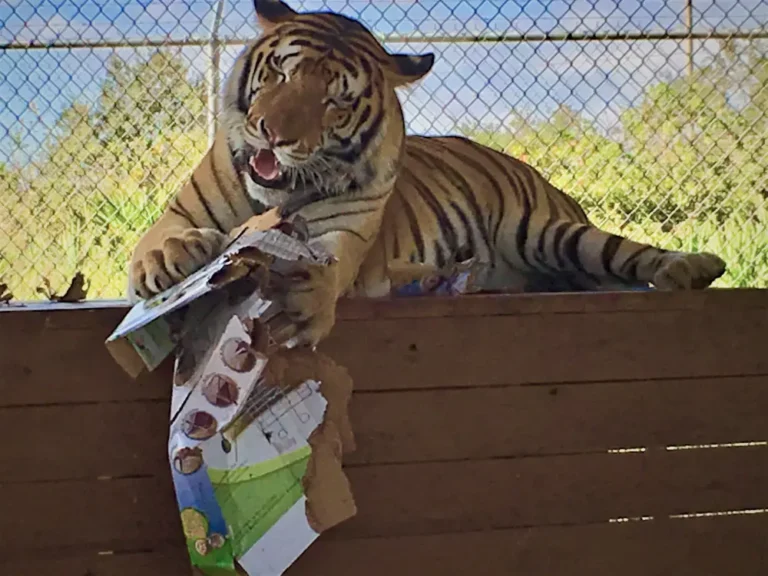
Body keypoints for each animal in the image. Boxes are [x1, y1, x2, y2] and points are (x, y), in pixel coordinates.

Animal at [127, 0, 727, 346]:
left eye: (334, 102)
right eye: (280, 71)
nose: (272, 134)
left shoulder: (343, 233)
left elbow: (324, 262)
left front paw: (303, 302)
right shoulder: (182, 210)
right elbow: (159, 239)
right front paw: (168, 260)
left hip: (548, 232)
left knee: (625, 253)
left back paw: (691, 266)